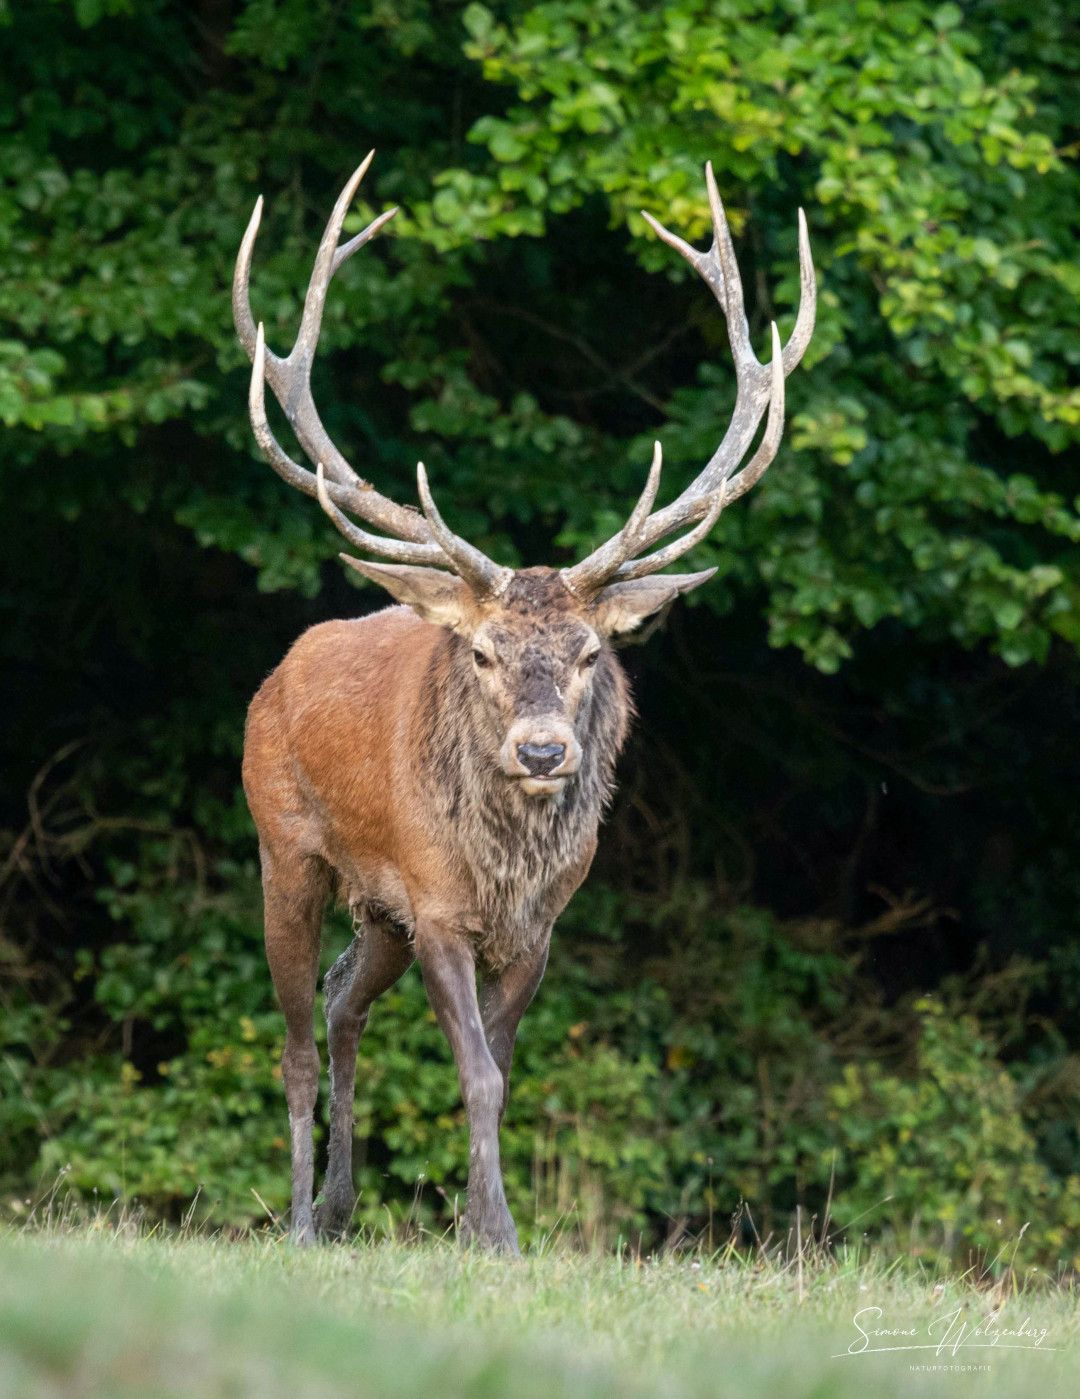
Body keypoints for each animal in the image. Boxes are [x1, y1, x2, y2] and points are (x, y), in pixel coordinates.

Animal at [233, 150, 811, 1247]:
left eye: (590, 652)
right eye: (484, 651)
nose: (543, 751)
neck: (504, 868)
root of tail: (277, 670)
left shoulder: (536, 925)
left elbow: (500, 1070)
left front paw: (476, 1223)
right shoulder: (437, 905)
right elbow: (477, 1075)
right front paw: (494, 1231)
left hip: (379, 910)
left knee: (339, 999)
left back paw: (339, 1204)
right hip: (286, 846)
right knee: (287, 1036)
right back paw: (296, 1219)